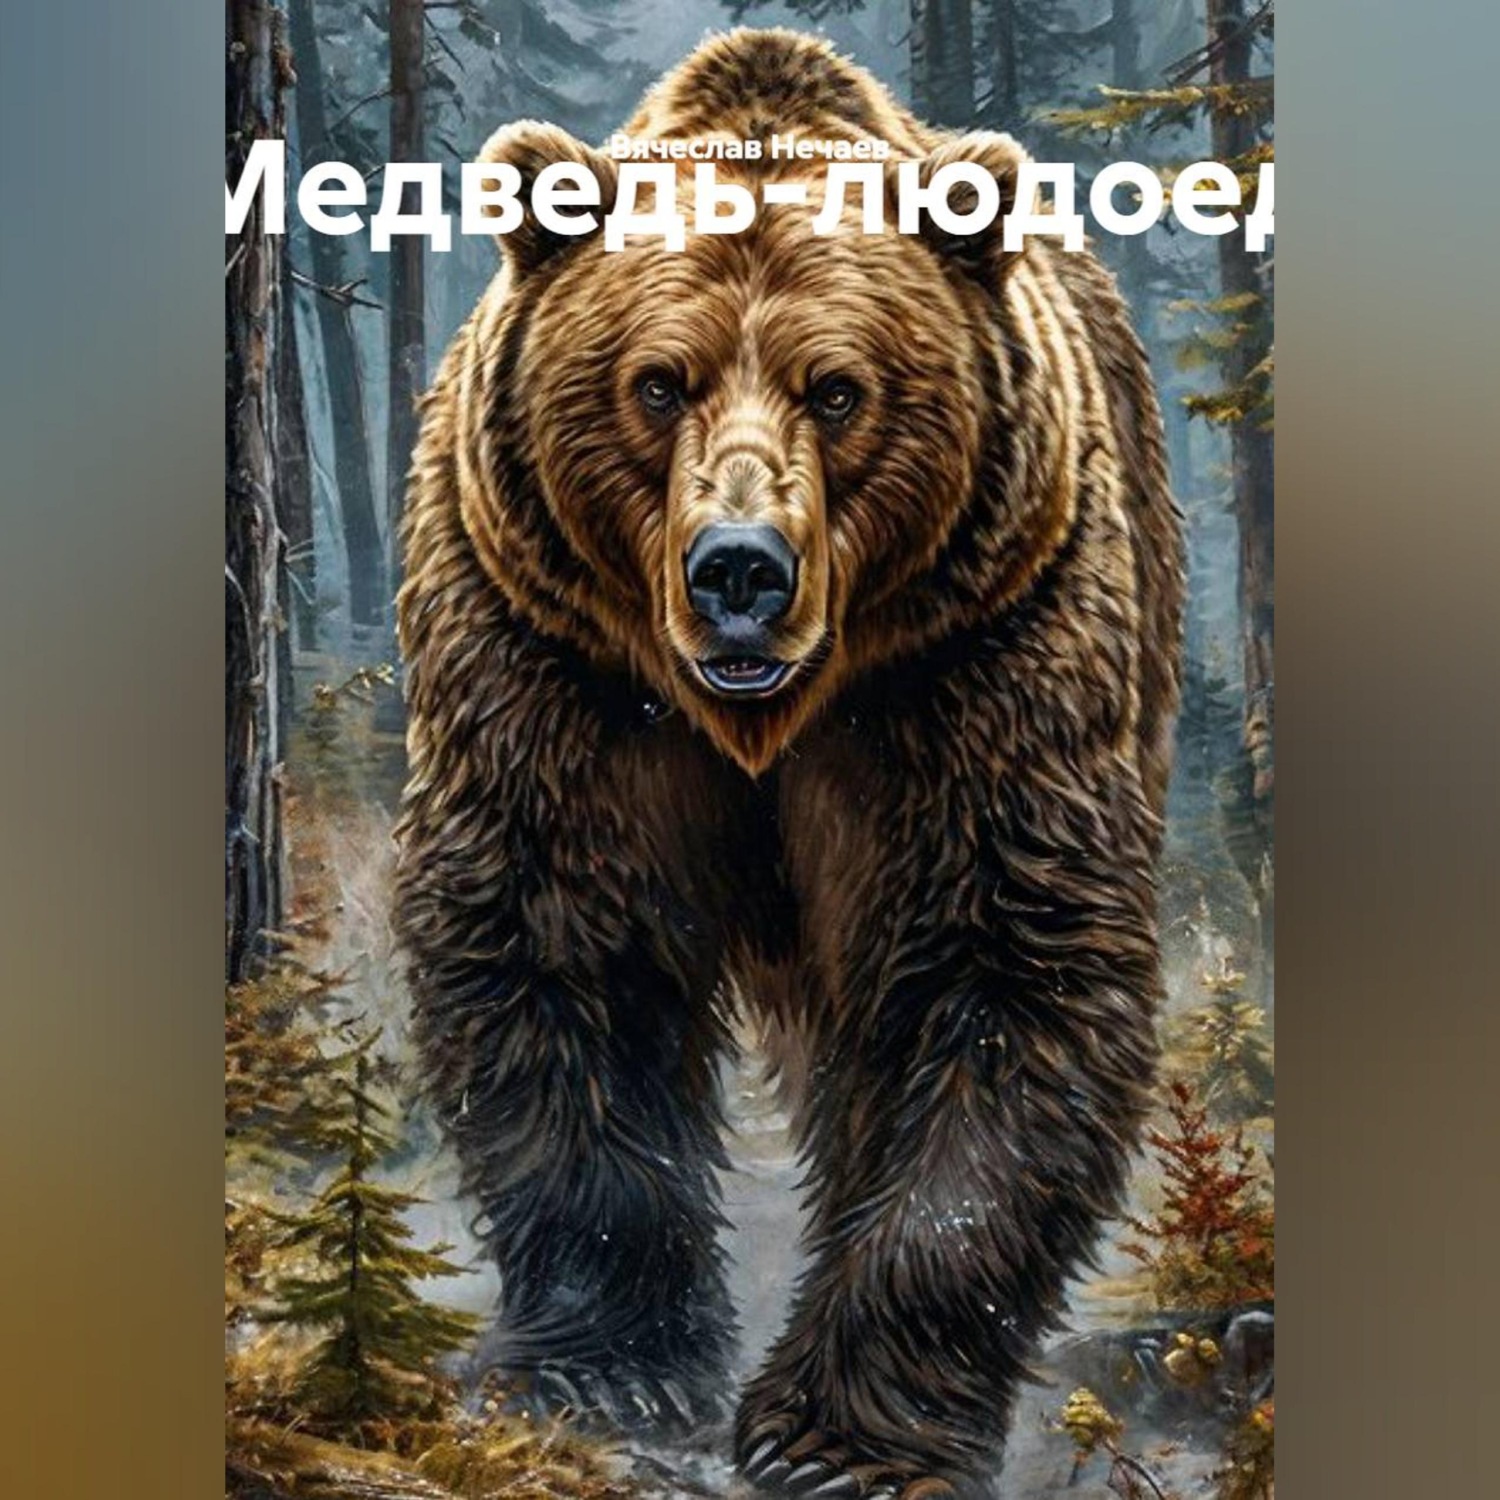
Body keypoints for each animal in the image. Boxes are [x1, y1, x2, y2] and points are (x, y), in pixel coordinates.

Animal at [393, 27, 1184, 1500]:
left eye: (839, 387)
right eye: (658, 381)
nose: (740, 572)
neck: (761, 721)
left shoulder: (971, 662)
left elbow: (997, 967)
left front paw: (841, 1437)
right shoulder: (553, 653)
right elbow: (555, 940)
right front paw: (611, 1364)